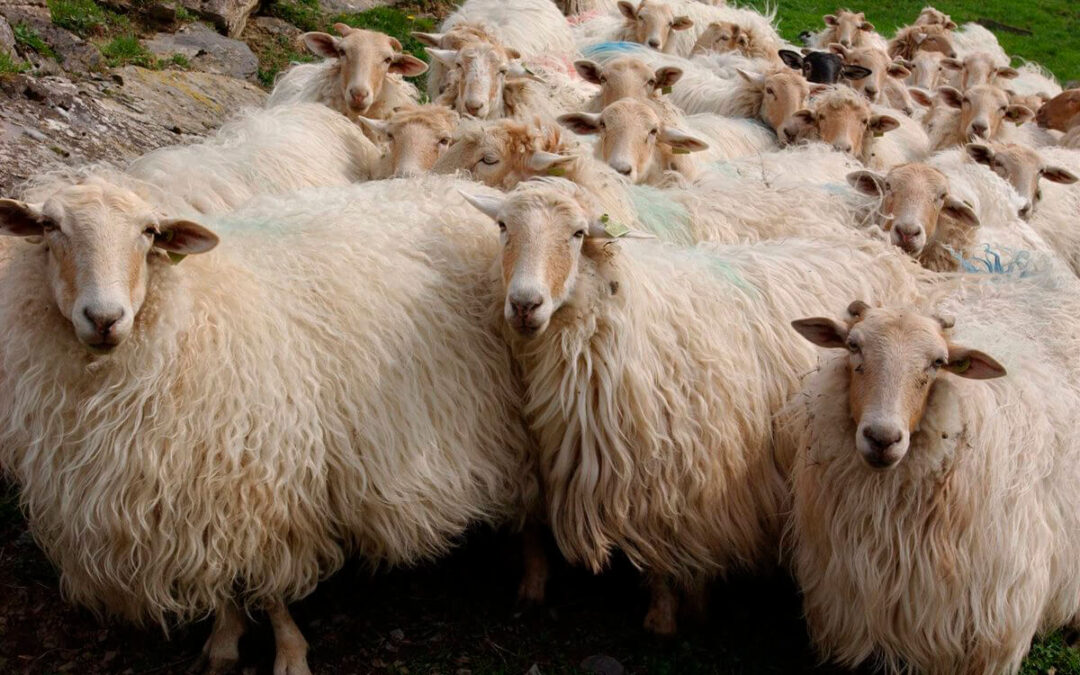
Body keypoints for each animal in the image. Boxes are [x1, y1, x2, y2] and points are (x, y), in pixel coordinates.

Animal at [0, 172, 535, 673]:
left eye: (149, 232)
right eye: (49, 227)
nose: (104, 318)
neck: (189, 314)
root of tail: (468, 187)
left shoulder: (264, 485)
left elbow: (270, 588)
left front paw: (290, 654)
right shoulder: (201, 493)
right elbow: (219, 579)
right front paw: (223, 642)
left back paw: (530, 581)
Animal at [462, 176, 928, 635]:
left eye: (577, 234)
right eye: (503, 226)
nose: (525, 305)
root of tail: (874, 244)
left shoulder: (683, 470)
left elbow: (667, 548)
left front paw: (668, 615)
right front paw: (532, 589)